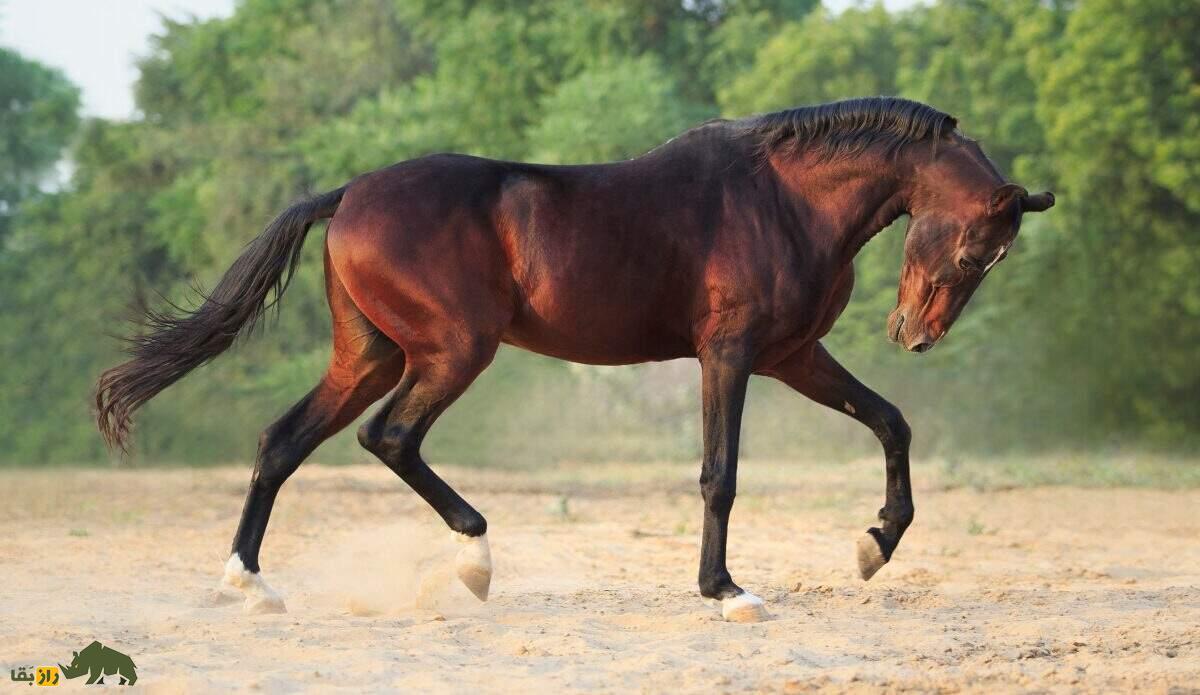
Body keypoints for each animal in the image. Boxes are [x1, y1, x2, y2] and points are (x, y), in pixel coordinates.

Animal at [96, 95, 1051, 624]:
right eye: (977, 249)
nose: (914, 333)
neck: (783, 197)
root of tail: (349, 195)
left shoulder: (793, 354)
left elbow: (892, 421)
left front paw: (874, 544)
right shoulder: (731, 353)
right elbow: (721, 474)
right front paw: (726, 591)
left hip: (369, 354)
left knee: (283, 442)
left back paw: (251, 584)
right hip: (451, 351)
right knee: (388, 438)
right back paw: (474, 561)